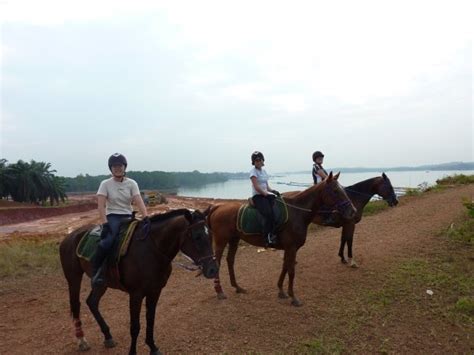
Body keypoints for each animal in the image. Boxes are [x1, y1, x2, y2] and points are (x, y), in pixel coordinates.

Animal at [58, 209, 218, 355]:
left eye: (211, 235)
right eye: (197, 236)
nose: (213, 269)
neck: (152, 250)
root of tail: (69, 237)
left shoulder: (155, 291)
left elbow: (150, 319)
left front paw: (153, 347)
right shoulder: (136, 294)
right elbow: (135, 326)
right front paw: (133, 352)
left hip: (101, 283)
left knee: (92, 302)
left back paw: (108, 336)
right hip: (73, 278)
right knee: (76, 305)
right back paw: (82, 340)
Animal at [207, 172, 356, 306]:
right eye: (335, 191)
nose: (353, 211)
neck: (298, 212)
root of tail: (217, 207)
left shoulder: (289, 248)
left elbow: (285, 266)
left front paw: (281, 291)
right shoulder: (292, 248)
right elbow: (291, 270)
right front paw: (293, 297)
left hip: (234, 239)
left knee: (230, 260)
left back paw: (237, 287)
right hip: (221, 241)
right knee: (218, 262)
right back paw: (219, 292)